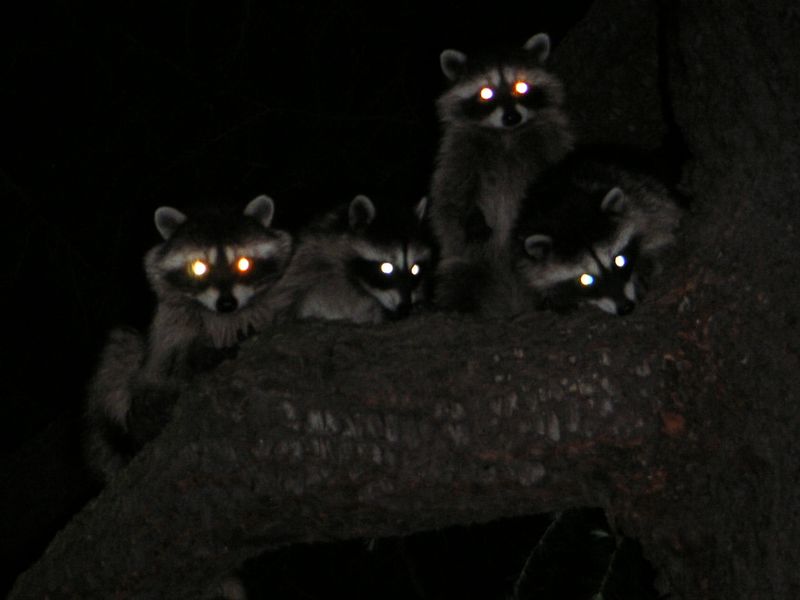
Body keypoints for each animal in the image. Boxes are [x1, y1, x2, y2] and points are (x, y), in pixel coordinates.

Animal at [85, 197, 290, 482]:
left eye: (244, 264)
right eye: (199, 268)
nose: (227, 303)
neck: (222, 315)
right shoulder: (170, 328)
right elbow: (164, 368)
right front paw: (196, 358)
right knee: (119, 354)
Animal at [432, 31, 576, 274]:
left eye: (521, 87)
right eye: (486, 93)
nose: (511, 117)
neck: (507, 134)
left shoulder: (554, 140)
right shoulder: (458, 151)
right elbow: (451, 196)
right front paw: (471, 215)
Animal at [516, 148, 684, 316]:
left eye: (620, 260)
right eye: (585, 279)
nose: (625, 308)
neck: (569, 212)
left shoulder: (639, 200)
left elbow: (662, 220)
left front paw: (644, 263)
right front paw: (552, 295)